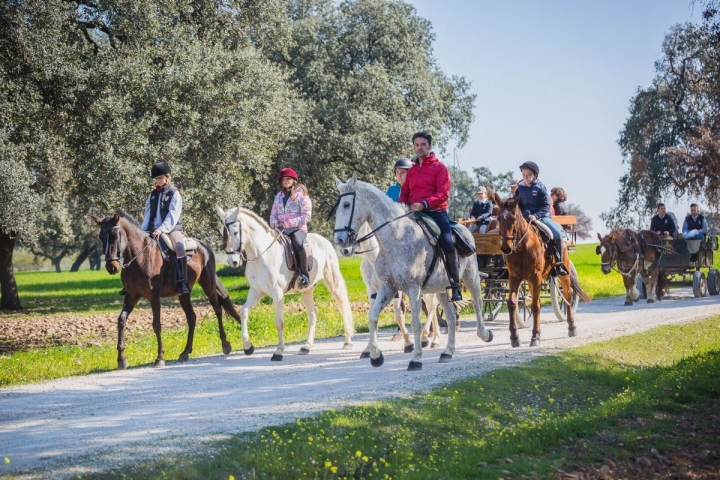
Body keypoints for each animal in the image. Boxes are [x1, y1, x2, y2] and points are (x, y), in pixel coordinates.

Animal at [91, 208, 245, 370]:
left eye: (114, 235)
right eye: (101, 237)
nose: (111, 267)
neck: (139, 257)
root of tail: (204, 246)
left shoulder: (154, 296)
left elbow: (157, 325)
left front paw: (160, 357)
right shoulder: (132, 296)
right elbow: (121, 320)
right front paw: (121, 359)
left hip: (208, 284)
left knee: (217, 309)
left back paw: (225, 344)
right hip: (184, 294)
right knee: (192, 317)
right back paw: (185, 352)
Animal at [214, 206, 354, 360]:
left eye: (235, 232)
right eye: (221, 233)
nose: (232, 261)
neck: (261, 255)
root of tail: (324, 241)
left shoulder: (277, 293)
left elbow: (279, 322)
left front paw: (279, 351)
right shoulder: (256, 291)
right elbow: (243, 312)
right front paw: (248, 346)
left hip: (332, 281)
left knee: (342, 307)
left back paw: (347, 342)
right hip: (307, 290)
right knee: (313, 314)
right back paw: (306, 346)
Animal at [330, 174, 490, 370]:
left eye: (346, 204)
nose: (339, 241)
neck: (397, 238)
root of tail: (464, 227)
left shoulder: (413, 289)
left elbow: (414, 322)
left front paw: (416, 358)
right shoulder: (386, 287)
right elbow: (373, 316)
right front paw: (375, 355)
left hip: (470, 276)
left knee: (477, 303)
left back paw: (482, 335)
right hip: (440, 289)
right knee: (451, 316)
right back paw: (447, 352)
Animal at [496, 193, 592, 346]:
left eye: (513, 218)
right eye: (498, 218)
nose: (506, 248)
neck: (522, 247)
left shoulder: (536, 278)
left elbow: (535, 306)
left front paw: (535, 337)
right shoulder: (515, 278)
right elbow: (512, 303)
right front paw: (514, 337)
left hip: (563, 275)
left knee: (567, 297)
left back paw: (572, 327)